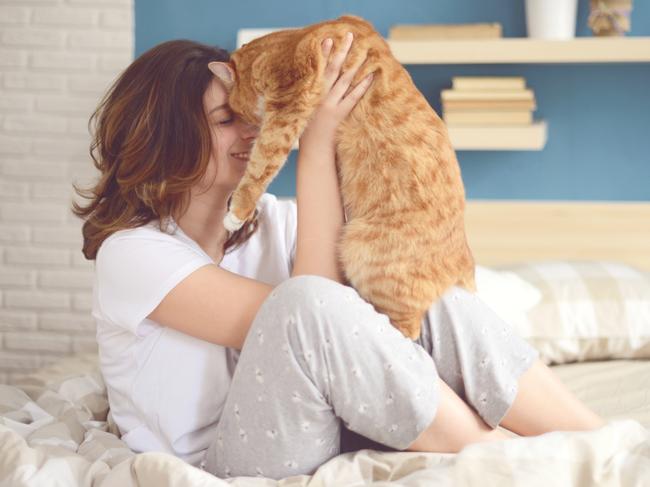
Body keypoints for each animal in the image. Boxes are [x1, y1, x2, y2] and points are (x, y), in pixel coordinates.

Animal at [210, 12, 474, 340]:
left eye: (231, 115)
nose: (248, 131)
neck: (283, 43)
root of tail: (464, 259)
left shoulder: (289, 101)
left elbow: (261, 164)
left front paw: (236, 213)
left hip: (363, 252)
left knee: (406, 330)